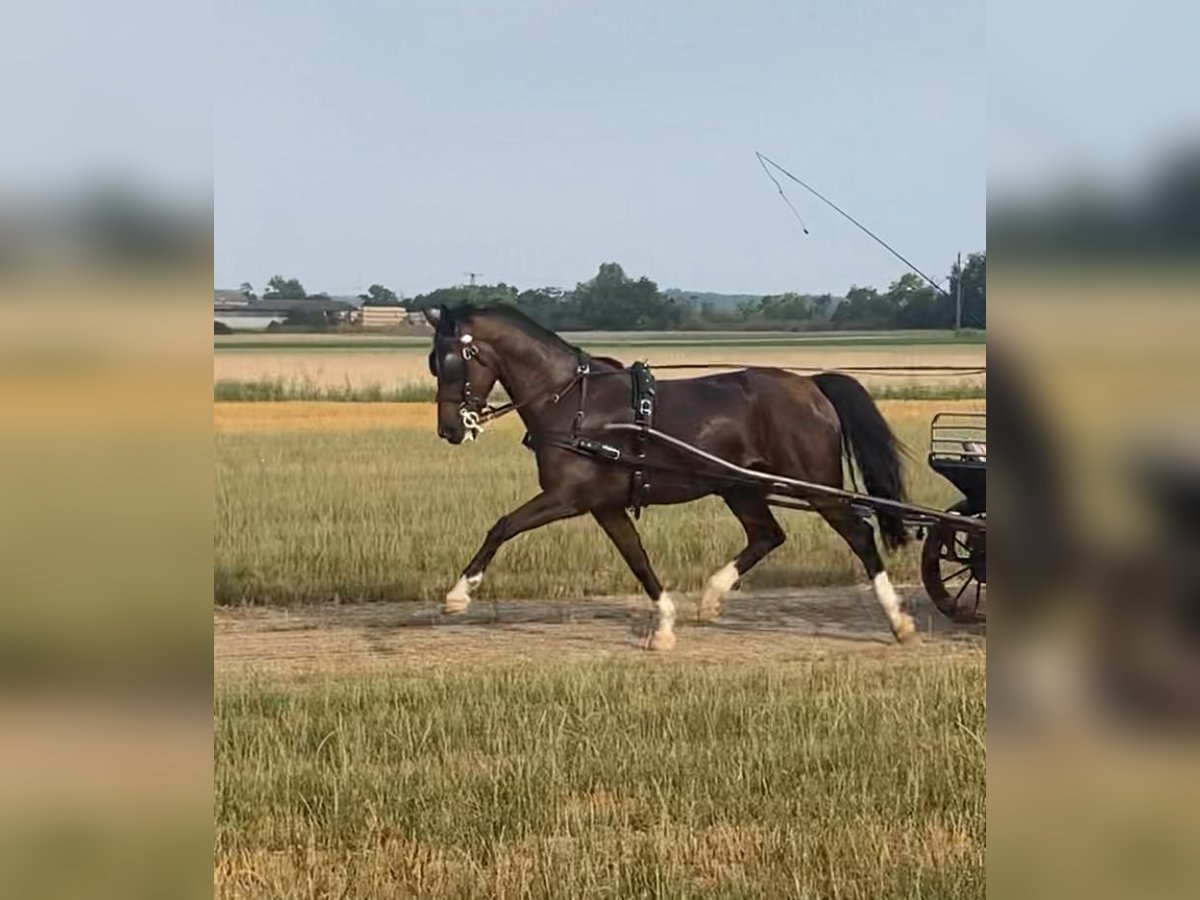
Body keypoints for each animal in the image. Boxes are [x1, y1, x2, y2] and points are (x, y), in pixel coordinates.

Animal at [427, 303, 912, 648]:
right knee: (767, 535)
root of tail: (809, 383)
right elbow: (637, 558)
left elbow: (503, 526)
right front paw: (664, 625)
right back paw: (712, 597)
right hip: (740, 486)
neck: (572, 403)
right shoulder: (605, 505)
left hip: (816, 485)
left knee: (859, 534)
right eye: (434, 362)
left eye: (450, 361)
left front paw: (459, 594)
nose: (449, 430)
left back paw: (898, 619)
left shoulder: (568, 496)